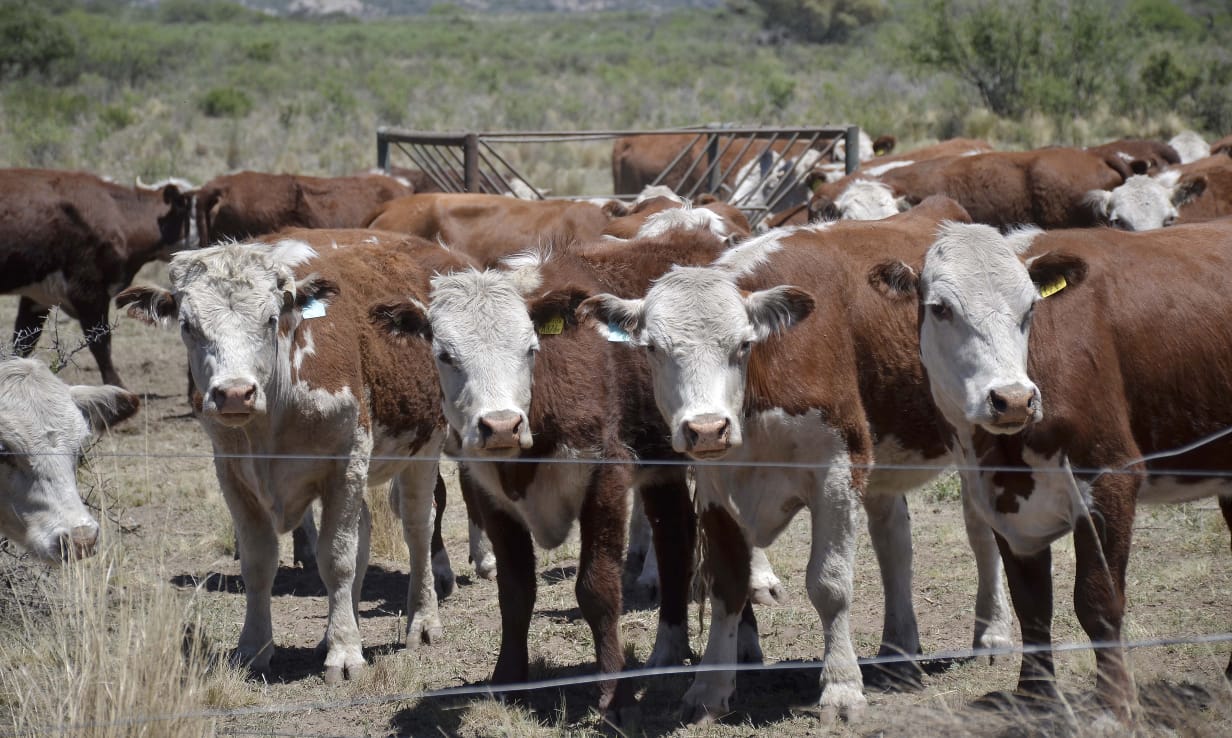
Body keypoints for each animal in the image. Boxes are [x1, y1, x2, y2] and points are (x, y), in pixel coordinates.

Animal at [0, 169, 195, 388]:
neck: (118, 214)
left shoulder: (37, 297)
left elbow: (23, 343)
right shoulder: (88, 291)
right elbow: (101, 343)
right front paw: (117, 386)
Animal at [117, 229, 470, 683]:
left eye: (270, 319)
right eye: (187, 325)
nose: (234, 393)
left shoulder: (347, 463)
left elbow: (336, 559)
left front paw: (344, 653)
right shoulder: (232, 474)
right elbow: (259, 561)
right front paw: (255, 647)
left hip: (423, 450)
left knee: (417, 528)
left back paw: (423, 621)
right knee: (365, 532)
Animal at [578, 197, 1016, 723]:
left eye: (742, 344)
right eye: (653, 349)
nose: (706, 427)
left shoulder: (837, 473)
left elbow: (830, 585)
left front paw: (842, 688)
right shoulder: (716, 486)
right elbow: (728, 582)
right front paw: (709, 689)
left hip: (978, 434)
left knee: (980, 531)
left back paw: (992, 634)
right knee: (894, 541)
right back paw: (897, 652)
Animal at [870, 219, 1232, 722]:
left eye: (1030, 308)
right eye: (940, 308)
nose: (1013, 399)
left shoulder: (1109, 478)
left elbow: (1098, 600)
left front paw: (1115, 705)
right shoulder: (1000, 500)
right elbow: (1032, 606)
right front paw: (1035, 696)